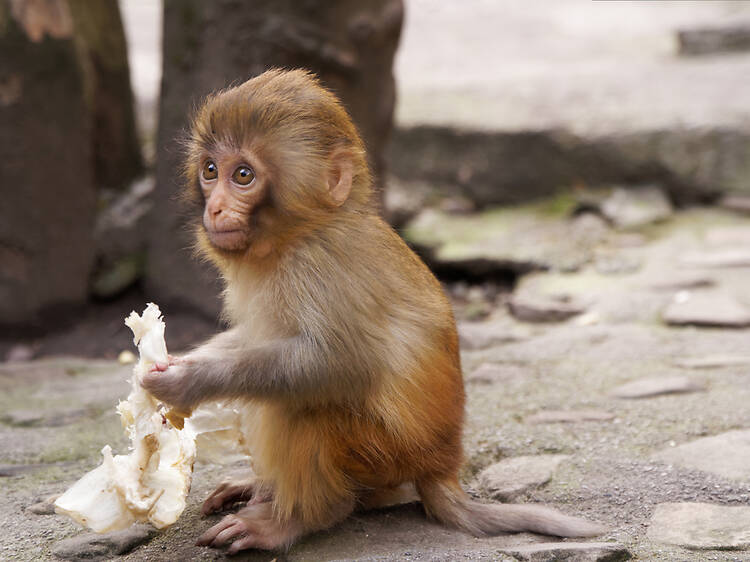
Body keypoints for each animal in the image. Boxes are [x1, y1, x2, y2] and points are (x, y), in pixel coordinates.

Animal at [141, 68, 606, 554]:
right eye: (211, 171)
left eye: (244, 175)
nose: (215, 207)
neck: (299, 233)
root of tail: (443, 465)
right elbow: (254, 338)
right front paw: (180, 362)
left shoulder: (319, 266)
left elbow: (335, 363)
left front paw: (188, 381)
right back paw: (265, 490)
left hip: (385, 454)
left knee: (300, 404)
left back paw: (298, 517)